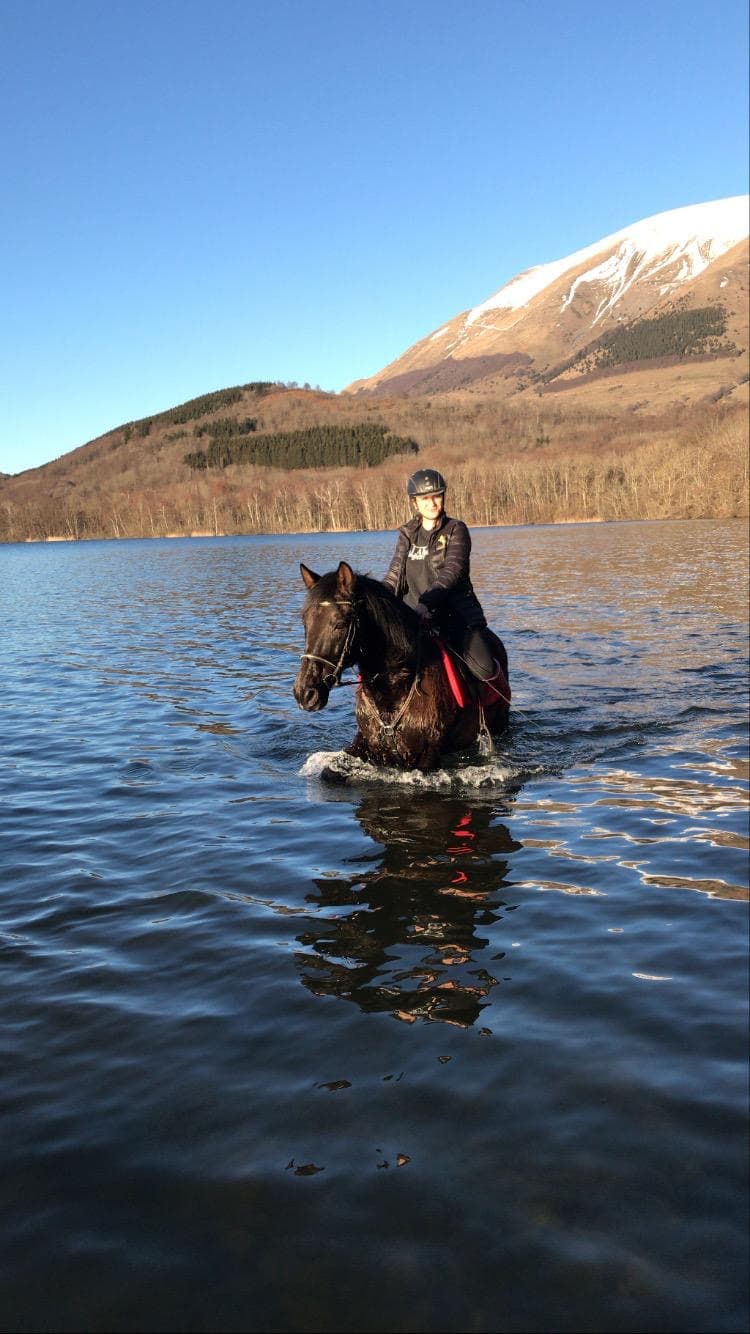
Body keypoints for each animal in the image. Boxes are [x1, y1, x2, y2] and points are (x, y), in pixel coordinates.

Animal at [293, 560, 510, 771]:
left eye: (340, 623)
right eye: (305, 622)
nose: (304, 693)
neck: (396, 684)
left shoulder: (427, 755)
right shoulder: (364, 744)